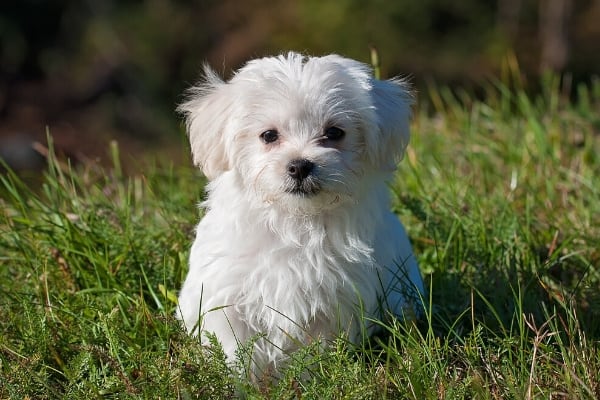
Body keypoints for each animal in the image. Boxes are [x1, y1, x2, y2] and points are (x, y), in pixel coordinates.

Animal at [176, 51, 424, 374]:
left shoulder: (334, 303)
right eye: (269, 135)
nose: (299, 165)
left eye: (334, 133)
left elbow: (315, 351)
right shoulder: (227, 295)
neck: (295, 220)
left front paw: (310, 377)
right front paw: (239, 380)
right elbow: (234, 348)